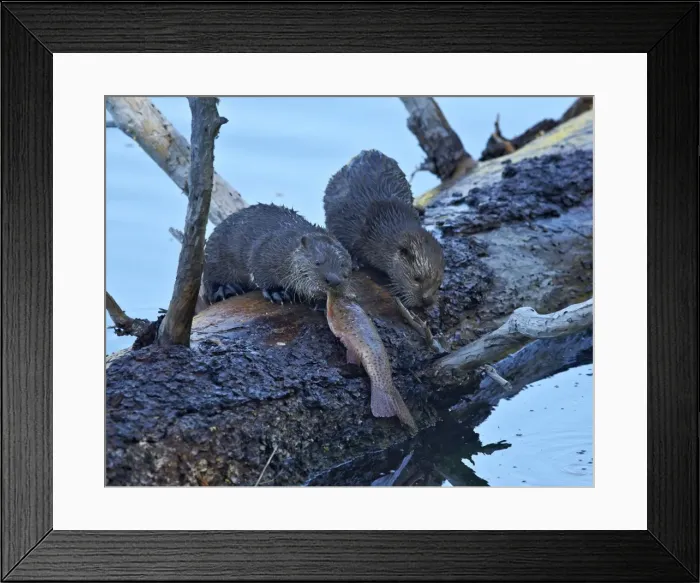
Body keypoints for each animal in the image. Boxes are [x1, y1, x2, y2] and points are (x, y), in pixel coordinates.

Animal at [203, 203, 352, 305]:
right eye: (318, 262)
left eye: (344, 267)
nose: (333, 280)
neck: (287, 251)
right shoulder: (266, 250)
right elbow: (260, 270)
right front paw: (276, 292)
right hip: (213, 257)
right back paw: (225, 289)